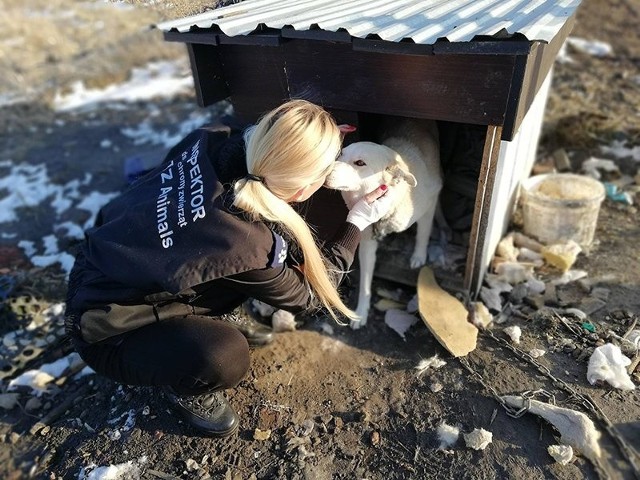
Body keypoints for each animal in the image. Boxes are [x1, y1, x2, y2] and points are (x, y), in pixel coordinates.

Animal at [322, 118, 442, 328]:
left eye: (360, 163)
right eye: (340, 155)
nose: (323, 170)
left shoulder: (429, 205)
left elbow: (423, 233)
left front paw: (419, 255)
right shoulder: (367, 243)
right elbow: (365, 284)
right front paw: (361, 313)